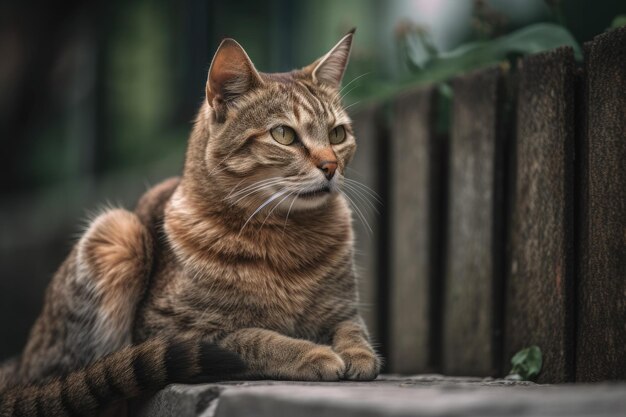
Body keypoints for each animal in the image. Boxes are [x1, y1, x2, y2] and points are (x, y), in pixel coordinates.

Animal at [0, 28, 378, 412]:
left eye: (337, 134)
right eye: (284, 135)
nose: (331, 166)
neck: (288, 237)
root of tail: (19, 365)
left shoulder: (344, 311)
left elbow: (354, 331)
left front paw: (356, 353)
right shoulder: (172, 330)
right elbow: (256, 337)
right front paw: (313, 353)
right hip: (119, 234)